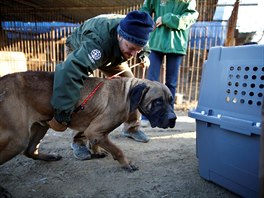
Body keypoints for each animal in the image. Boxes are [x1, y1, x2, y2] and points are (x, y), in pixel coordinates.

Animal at [0, 71, 177, 170]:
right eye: (158, 102)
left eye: (171, 100)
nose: (173, 118)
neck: (127, 92)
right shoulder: (94, 130)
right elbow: (117, 150)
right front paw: (126, 164)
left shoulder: (95, 131)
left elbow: (96, 142)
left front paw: (96, 151)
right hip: (17, 139)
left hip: (40, 126)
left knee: (30, 151)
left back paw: (49, 157)